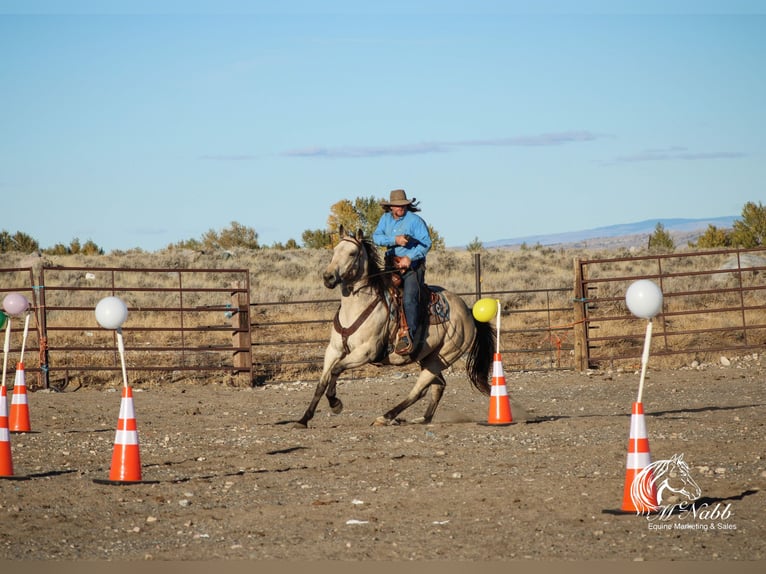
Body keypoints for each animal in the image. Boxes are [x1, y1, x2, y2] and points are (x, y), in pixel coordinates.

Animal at [292, 227, 496, 430]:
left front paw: (335, 403)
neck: (355, 308)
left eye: (352, 253)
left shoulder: (366, 352)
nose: (328, 277)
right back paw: (421, 419)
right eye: (334, 250)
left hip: (442, 358)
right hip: (429, 357)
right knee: (438, 386)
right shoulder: (333, 350)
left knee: (418, 391)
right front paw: (303, 419)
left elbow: (336, 370)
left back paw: (385, 417)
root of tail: (468, 312)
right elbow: (322, 382)